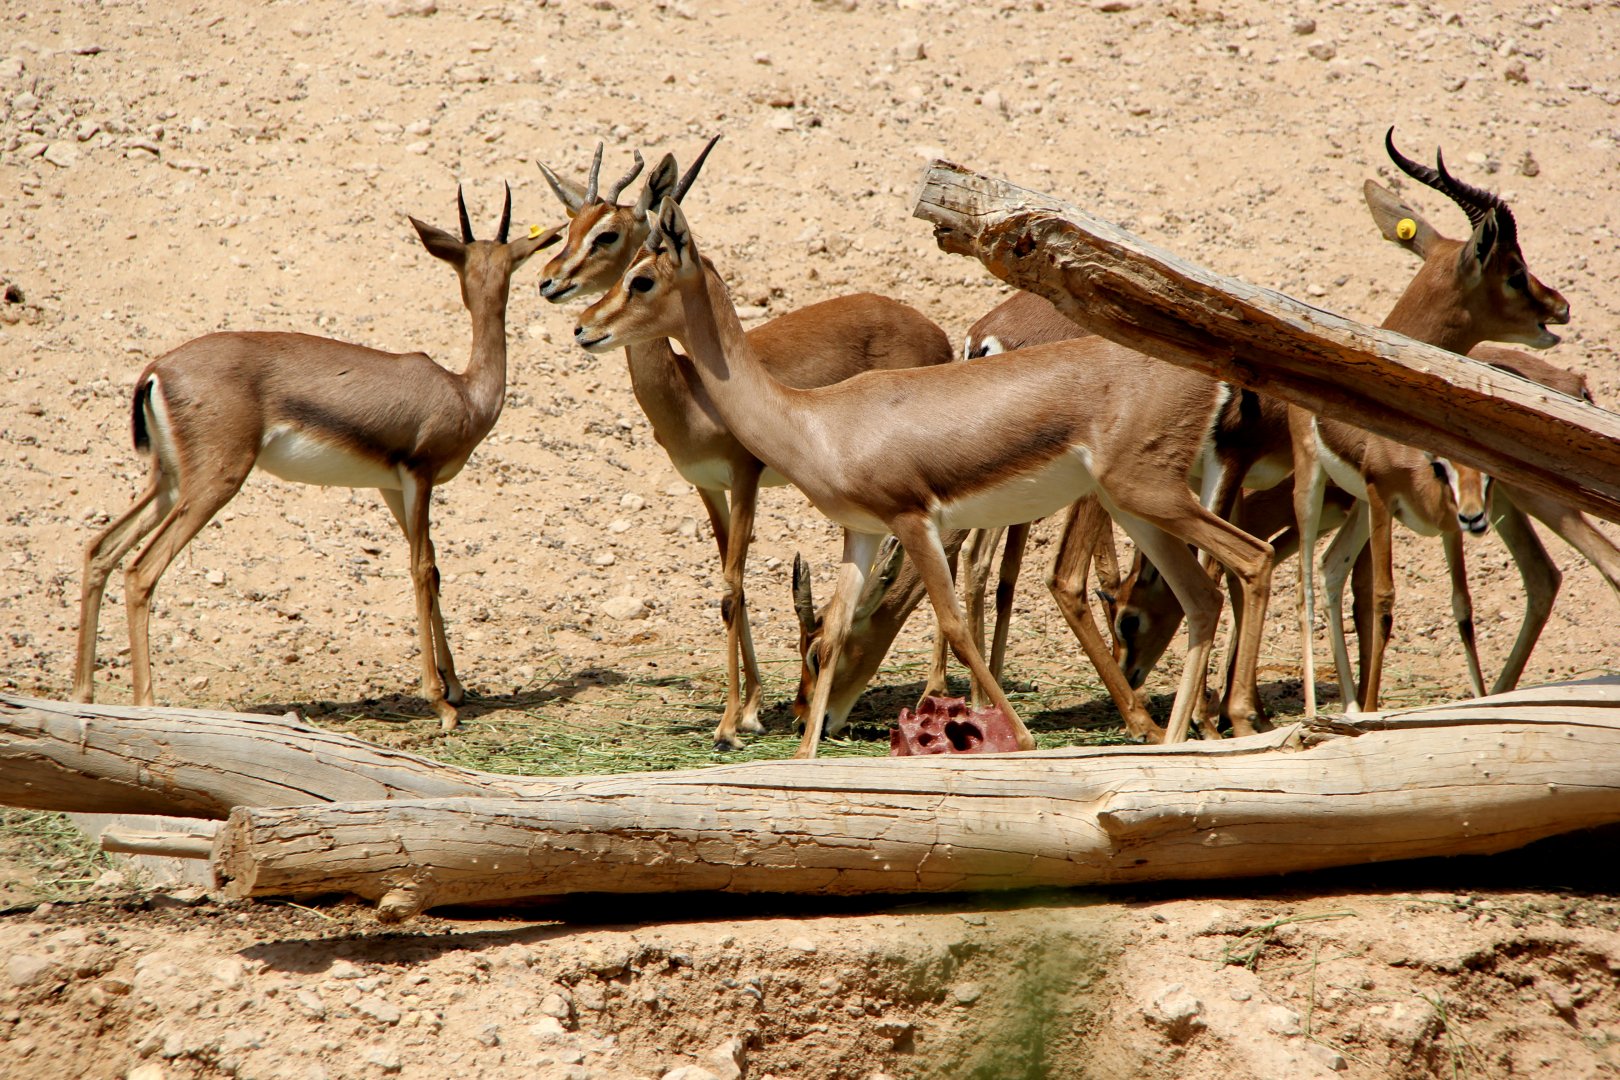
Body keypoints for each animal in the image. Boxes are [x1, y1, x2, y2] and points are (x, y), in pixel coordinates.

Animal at [72, 187, 555, 730]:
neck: (464, 392)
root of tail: (157, 369)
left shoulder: (393, 488)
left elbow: (433, 569)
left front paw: (455, 687)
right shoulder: (420, 476)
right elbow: (421, 568)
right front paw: (440, 703)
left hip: (168, 483)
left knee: (101, 550)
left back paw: (83, 695)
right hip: (214, 483)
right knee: (140, 571)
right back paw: (147, 706)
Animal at [534, 140, 955, 750]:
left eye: (607, 235)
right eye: (570, 224)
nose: (550, 283)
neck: (690, 391)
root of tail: (937, 332)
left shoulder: (746, 476)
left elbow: (733, 587)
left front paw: (730, 724)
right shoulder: (707, 487)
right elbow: (731, 586)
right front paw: (751, 709)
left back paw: (935, 694)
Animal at [576, 197, 1275, 755]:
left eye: (642, 279)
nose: (584, 328)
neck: (817, 421)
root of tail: (1210, 379)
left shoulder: (913, 520)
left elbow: (953, 623)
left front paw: (1023, 738)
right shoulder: (861, 534)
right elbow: (838, 627)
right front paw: (802, 755)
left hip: (1152, 494)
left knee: (1253, 558)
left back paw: (1231, 724)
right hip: (1137, 508)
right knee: (1203, 596)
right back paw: (1177, 743)